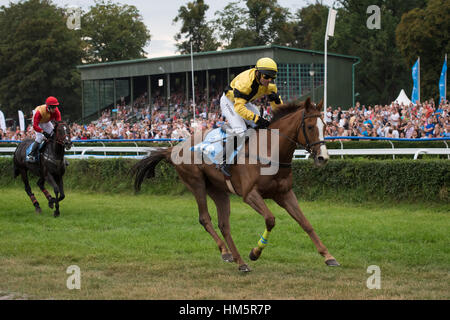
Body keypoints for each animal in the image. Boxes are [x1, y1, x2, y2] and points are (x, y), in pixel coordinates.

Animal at [132, 99, 340, 272]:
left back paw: (238, 260)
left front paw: (328, 256)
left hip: (218, 190)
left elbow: (305, 223)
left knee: (224, 225)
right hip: (196, 183)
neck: (269, 151)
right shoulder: (250, 194)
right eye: (310, 126)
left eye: (325, 126)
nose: (323, 157)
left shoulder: (284, 193)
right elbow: (270, 219)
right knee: (205, 218)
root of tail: (174, 149)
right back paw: (228, 253)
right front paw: (255, 252)